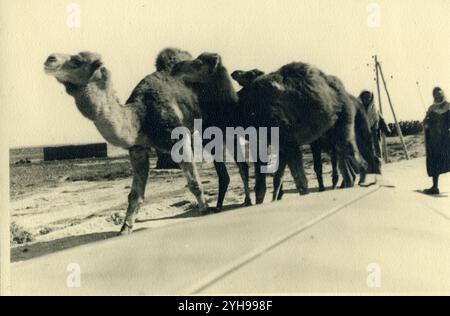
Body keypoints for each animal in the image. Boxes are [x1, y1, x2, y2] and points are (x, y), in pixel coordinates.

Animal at [43, 49, 250, 235]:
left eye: (77, 61)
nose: (49, 59)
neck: (141, 114)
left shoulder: (179, 139)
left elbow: (194, 183)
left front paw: (205, 211)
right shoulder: (137, 148)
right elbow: (135, 195)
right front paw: (125, 229)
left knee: (237, 156)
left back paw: (245, 200)